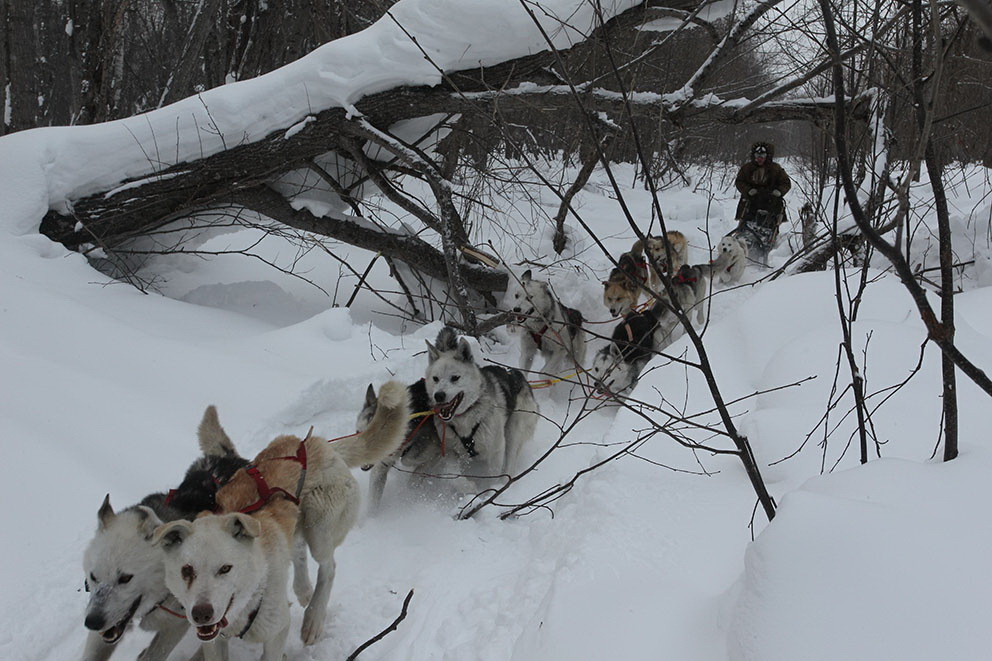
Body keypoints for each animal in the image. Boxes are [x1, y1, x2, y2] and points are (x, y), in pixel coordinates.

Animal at [83, 408, 250, 660]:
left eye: (125, 578)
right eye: (93, 577)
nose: (92, 622)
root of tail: (225, 458)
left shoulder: (176, 624)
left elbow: (155, 654)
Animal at [151, 376, 406, 656]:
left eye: (226, 568)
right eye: (187, 570)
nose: (201, 613)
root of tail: (319, 444)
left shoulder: (276, 629)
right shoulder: (214, 642)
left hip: (319, 527)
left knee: (328, 567)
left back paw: (313, 618)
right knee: (298, 551)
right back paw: (302, 588)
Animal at [356, 376, 442, 510]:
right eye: (358, 432)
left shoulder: (436, 453)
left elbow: (413, 476)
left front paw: (407, 497)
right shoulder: (381, 465)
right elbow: (373, 499)